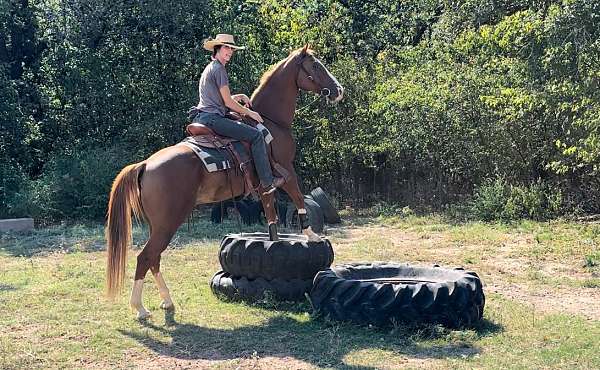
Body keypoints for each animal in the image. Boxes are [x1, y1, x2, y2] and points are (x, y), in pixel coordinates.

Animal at [105, 45, 344, 318]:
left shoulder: (264, 184)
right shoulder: (286, 171)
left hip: (158, 225)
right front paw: (311, 235)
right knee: (145, 257)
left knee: (153, 258)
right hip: (168, 222)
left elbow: (271, 214)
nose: (338, 90)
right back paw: (141, 308)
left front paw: (274, 240)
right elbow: (297, 196)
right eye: (315, 65)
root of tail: (145, 164)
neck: (270, 122)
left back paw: (167, 301)